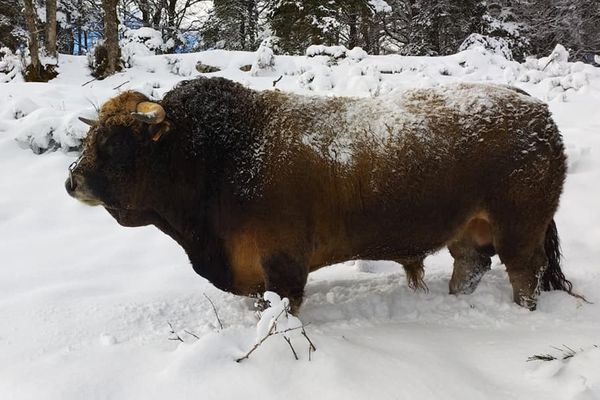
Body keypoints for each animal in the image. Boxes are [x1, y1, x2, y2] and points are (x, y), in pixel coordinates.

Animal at [63, 77, 576, 312]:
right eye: (92, 137)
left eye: (118, 142)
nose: (72, 181)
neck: (218, 154)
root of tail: (532, 106)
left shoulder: (283, 268)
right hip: (470, 232)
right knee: (470, 265)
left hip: (519, 230)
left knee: (524, 274)